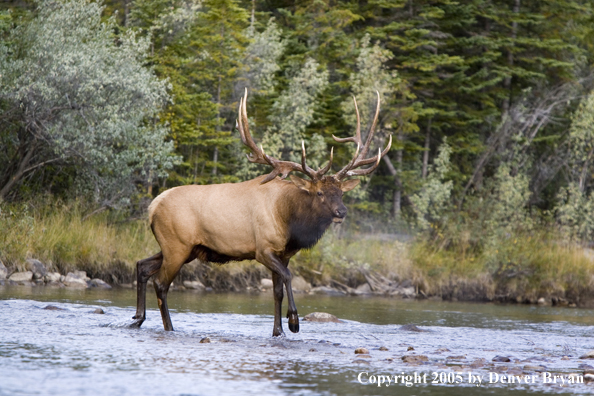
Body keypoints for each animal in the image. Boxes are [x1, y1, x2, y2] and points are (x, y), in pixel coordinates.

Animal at [131, 89, 388, 338]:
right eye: (319, 193)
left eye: (341, 193)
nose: (341, 211)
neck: (289, 221)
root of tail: (152, 206)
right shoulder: (263, 249)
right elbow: (288, 277)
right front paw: (293, 321)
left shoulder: (283, 254)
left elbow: (276, 291)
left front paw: (278, 331)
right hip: (177, 245)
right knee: (161, 283)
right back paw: (168, 327)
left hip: (185, 248)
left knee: (142, 265)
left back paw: (138, 318)